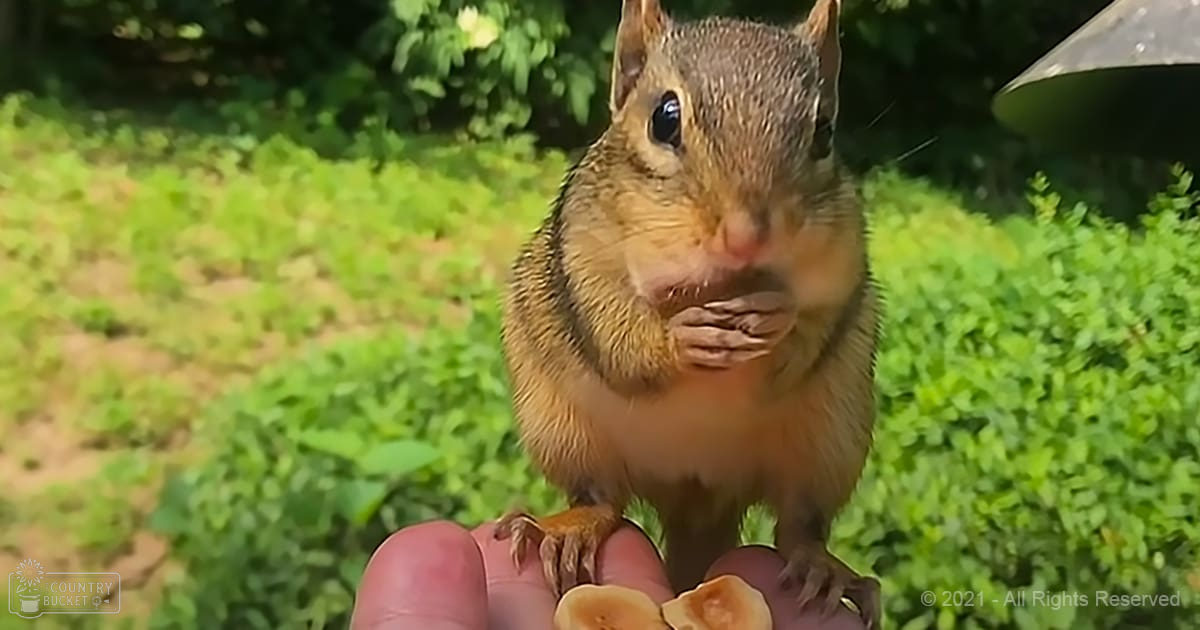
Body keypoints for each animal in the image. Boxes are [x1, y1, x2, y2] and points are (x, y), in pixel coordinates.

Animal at [495, 0, 882, 627]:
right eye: (664, 119)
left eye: (824, 132)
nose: (746, 237)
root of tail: (697, 500)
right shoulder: (581, 256)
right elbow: (614, 326)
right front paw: (682, 339)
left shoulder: (845, 263)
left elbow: (818, 320)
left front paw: (779, 323)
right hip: (564, 429)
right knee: (601, 499)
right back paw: (565, 529)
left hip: (830, 442)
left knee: (799, 527)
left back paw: (823, 569)